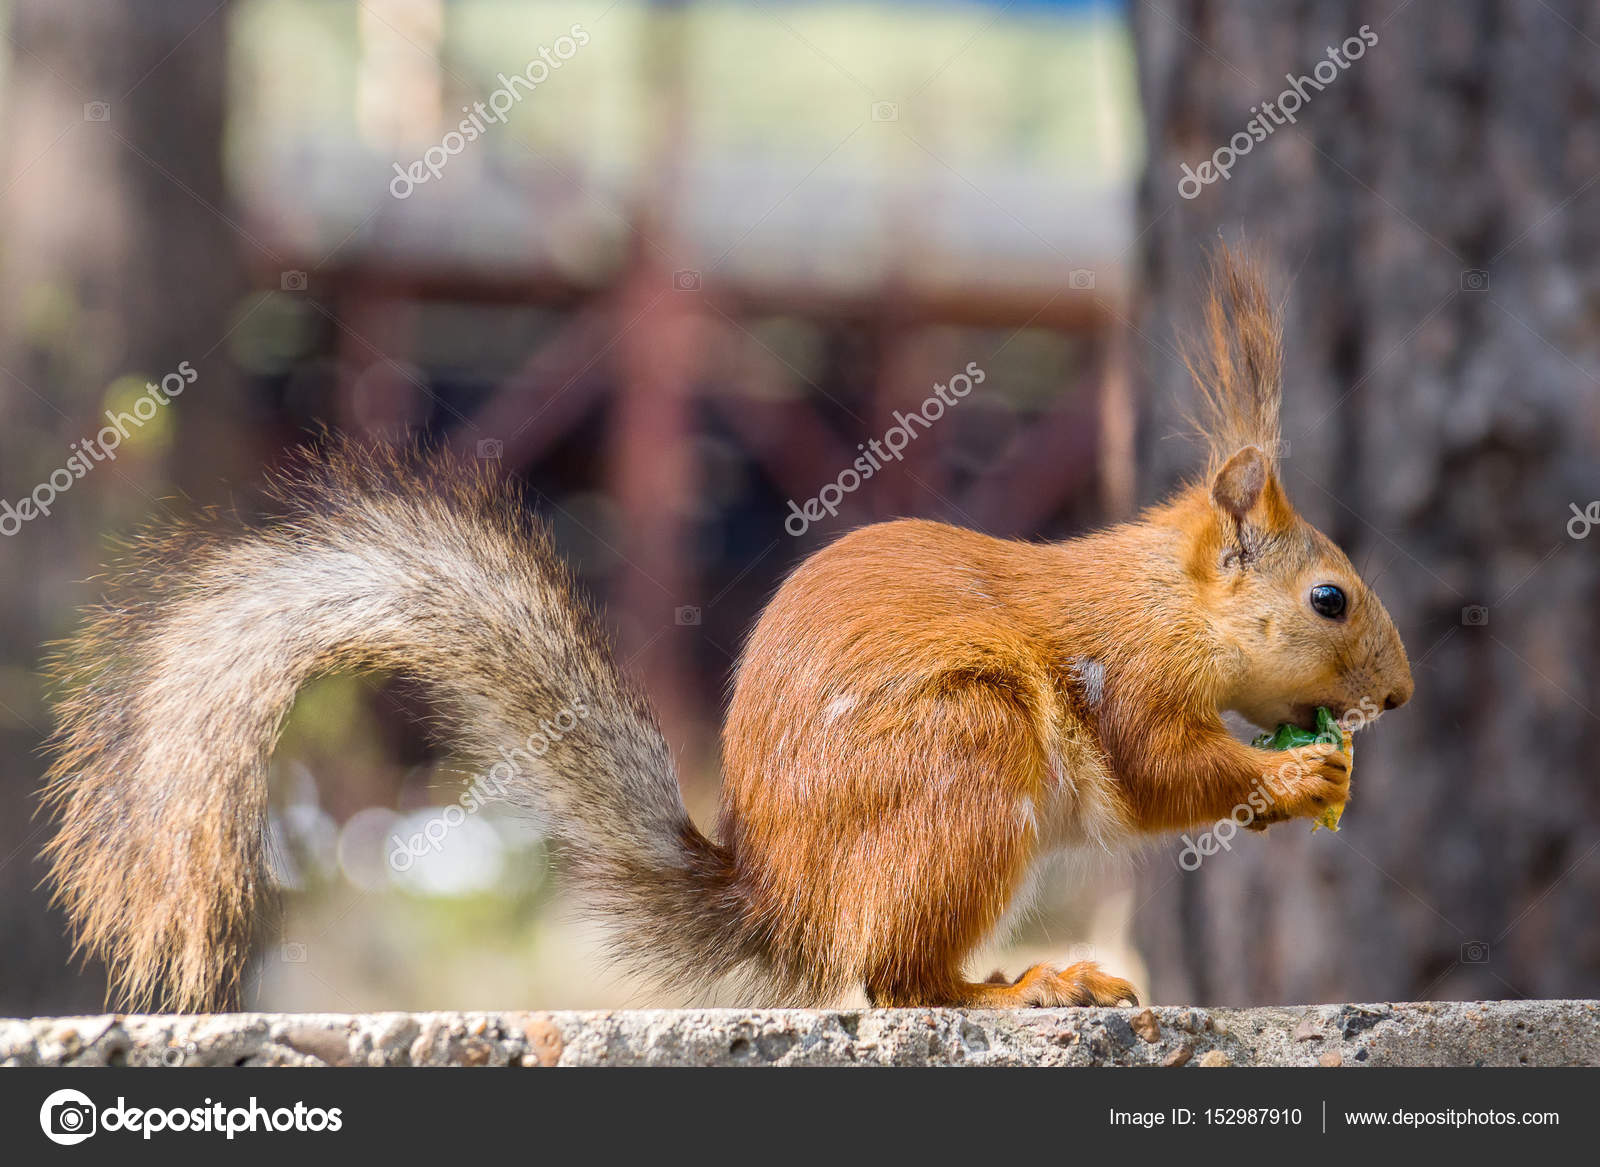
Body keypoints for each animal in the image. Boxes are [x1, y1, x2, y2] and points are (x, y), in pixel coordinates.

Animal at [42, 244, 1412, 1013]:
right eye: (1328, 599)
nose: (1396, 701)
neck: (1163, 602)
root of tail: (784, 899)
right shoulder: (1118, 673)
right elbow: (1163, 772)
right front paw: (1296, 777)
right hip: (966, 765)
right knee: (899, 985)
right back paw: (1028, 985)